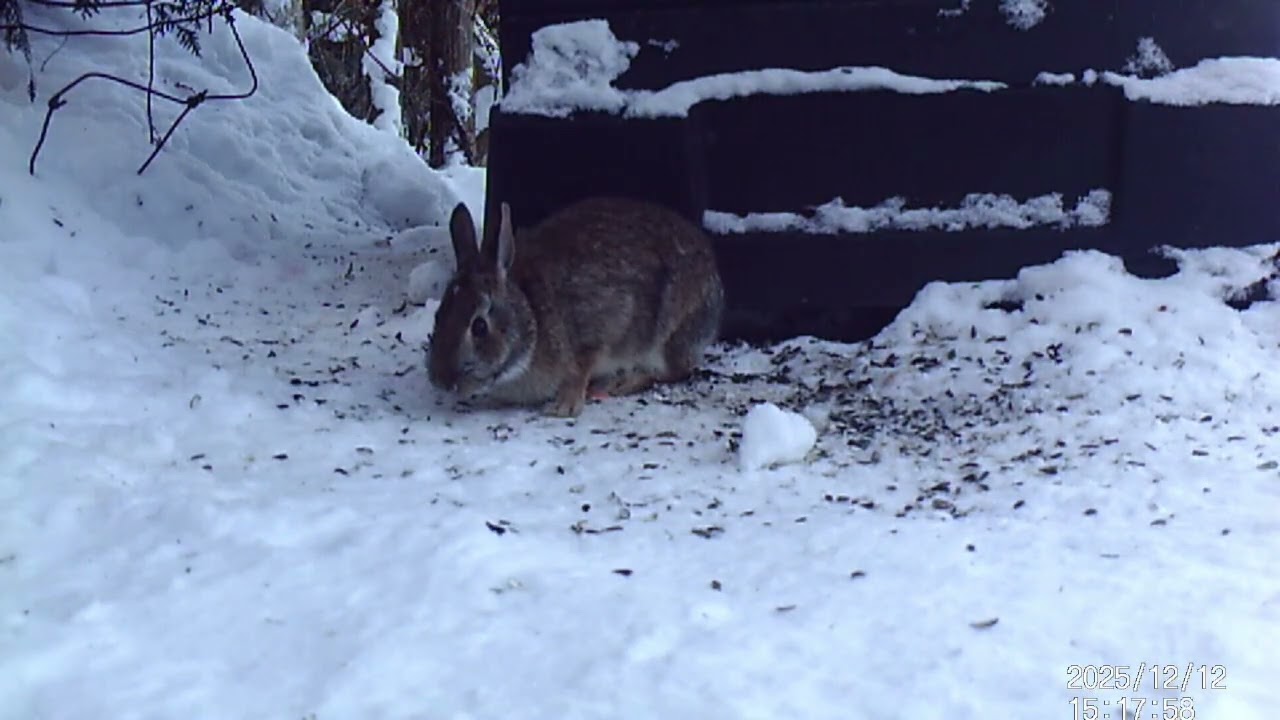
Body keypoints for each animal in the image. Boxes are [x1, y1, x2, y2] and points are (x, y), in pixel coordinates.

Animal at [427, 196, 724, 417]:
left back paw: (622, 382)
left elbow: (581, 368)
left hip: (669, 334)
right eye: (438, 315)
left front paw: (564, 407)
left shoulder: (596, 329)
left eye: (479, 326)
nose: (441, 381)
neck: (531, 313)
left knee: (675, 370)